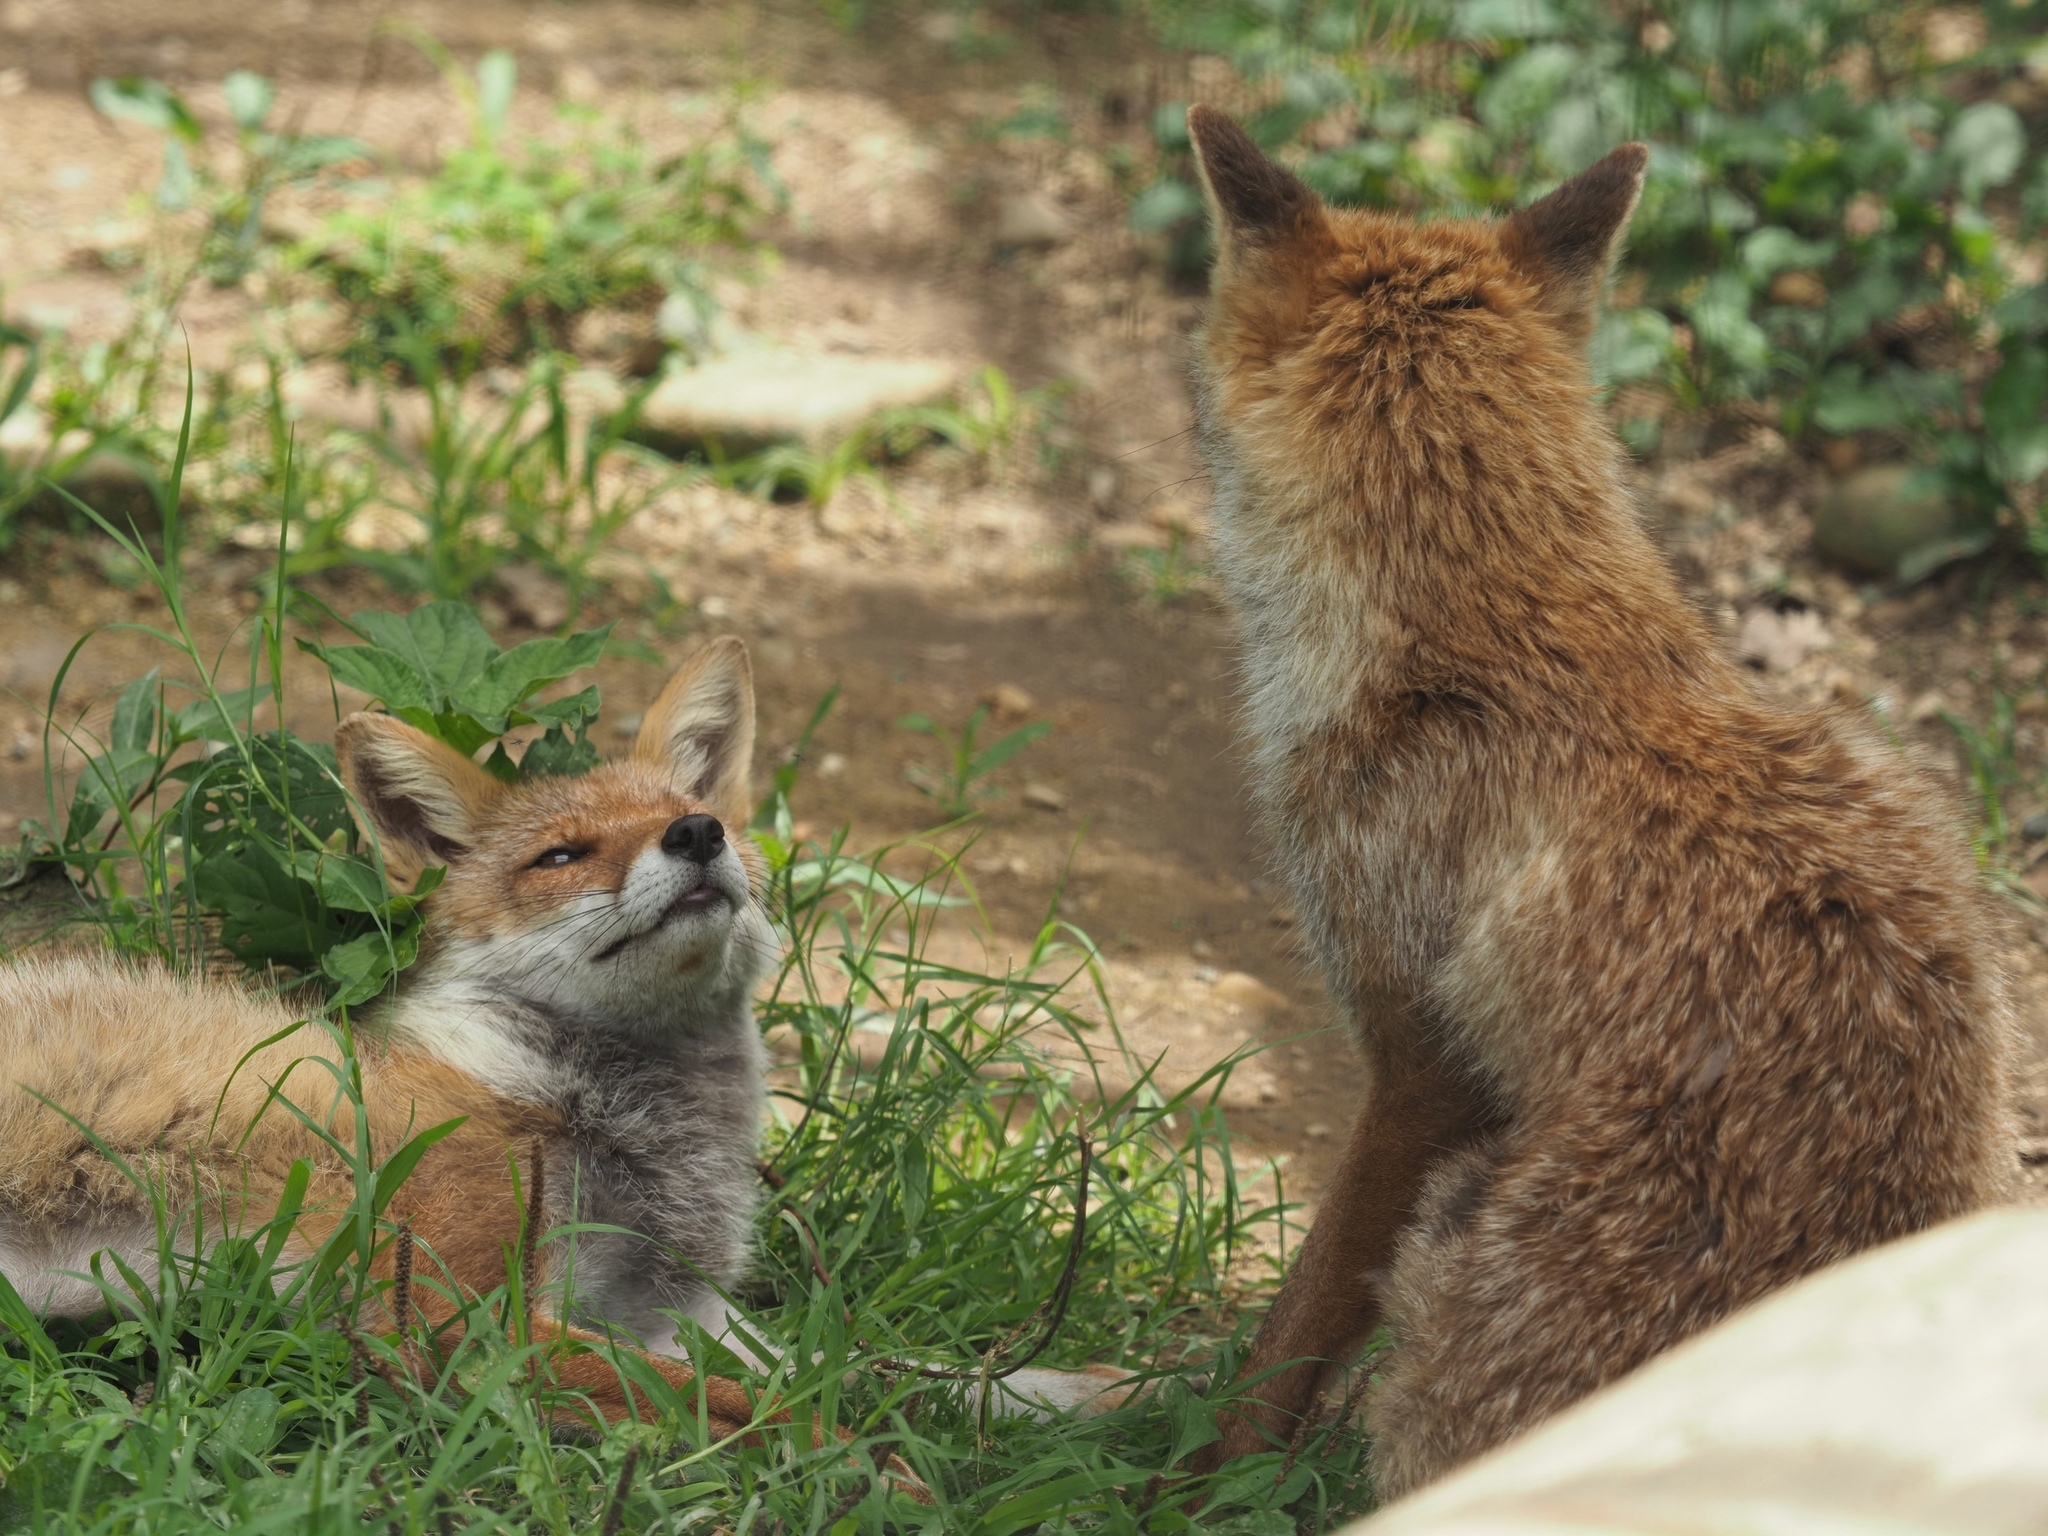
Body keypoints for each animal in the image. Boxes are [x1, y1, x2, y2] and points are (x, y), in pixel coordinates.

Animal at [4, 634, 1122, 1433]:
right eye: (562, 855)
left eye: (696, 814)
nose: (698, 833)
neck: (602, 1122)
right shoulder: (455, 1318)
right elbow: (763, 1408)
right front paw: (879, 1471)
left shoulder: (668, 1311)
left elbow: (881, 1362)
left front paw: (1103, 1395)